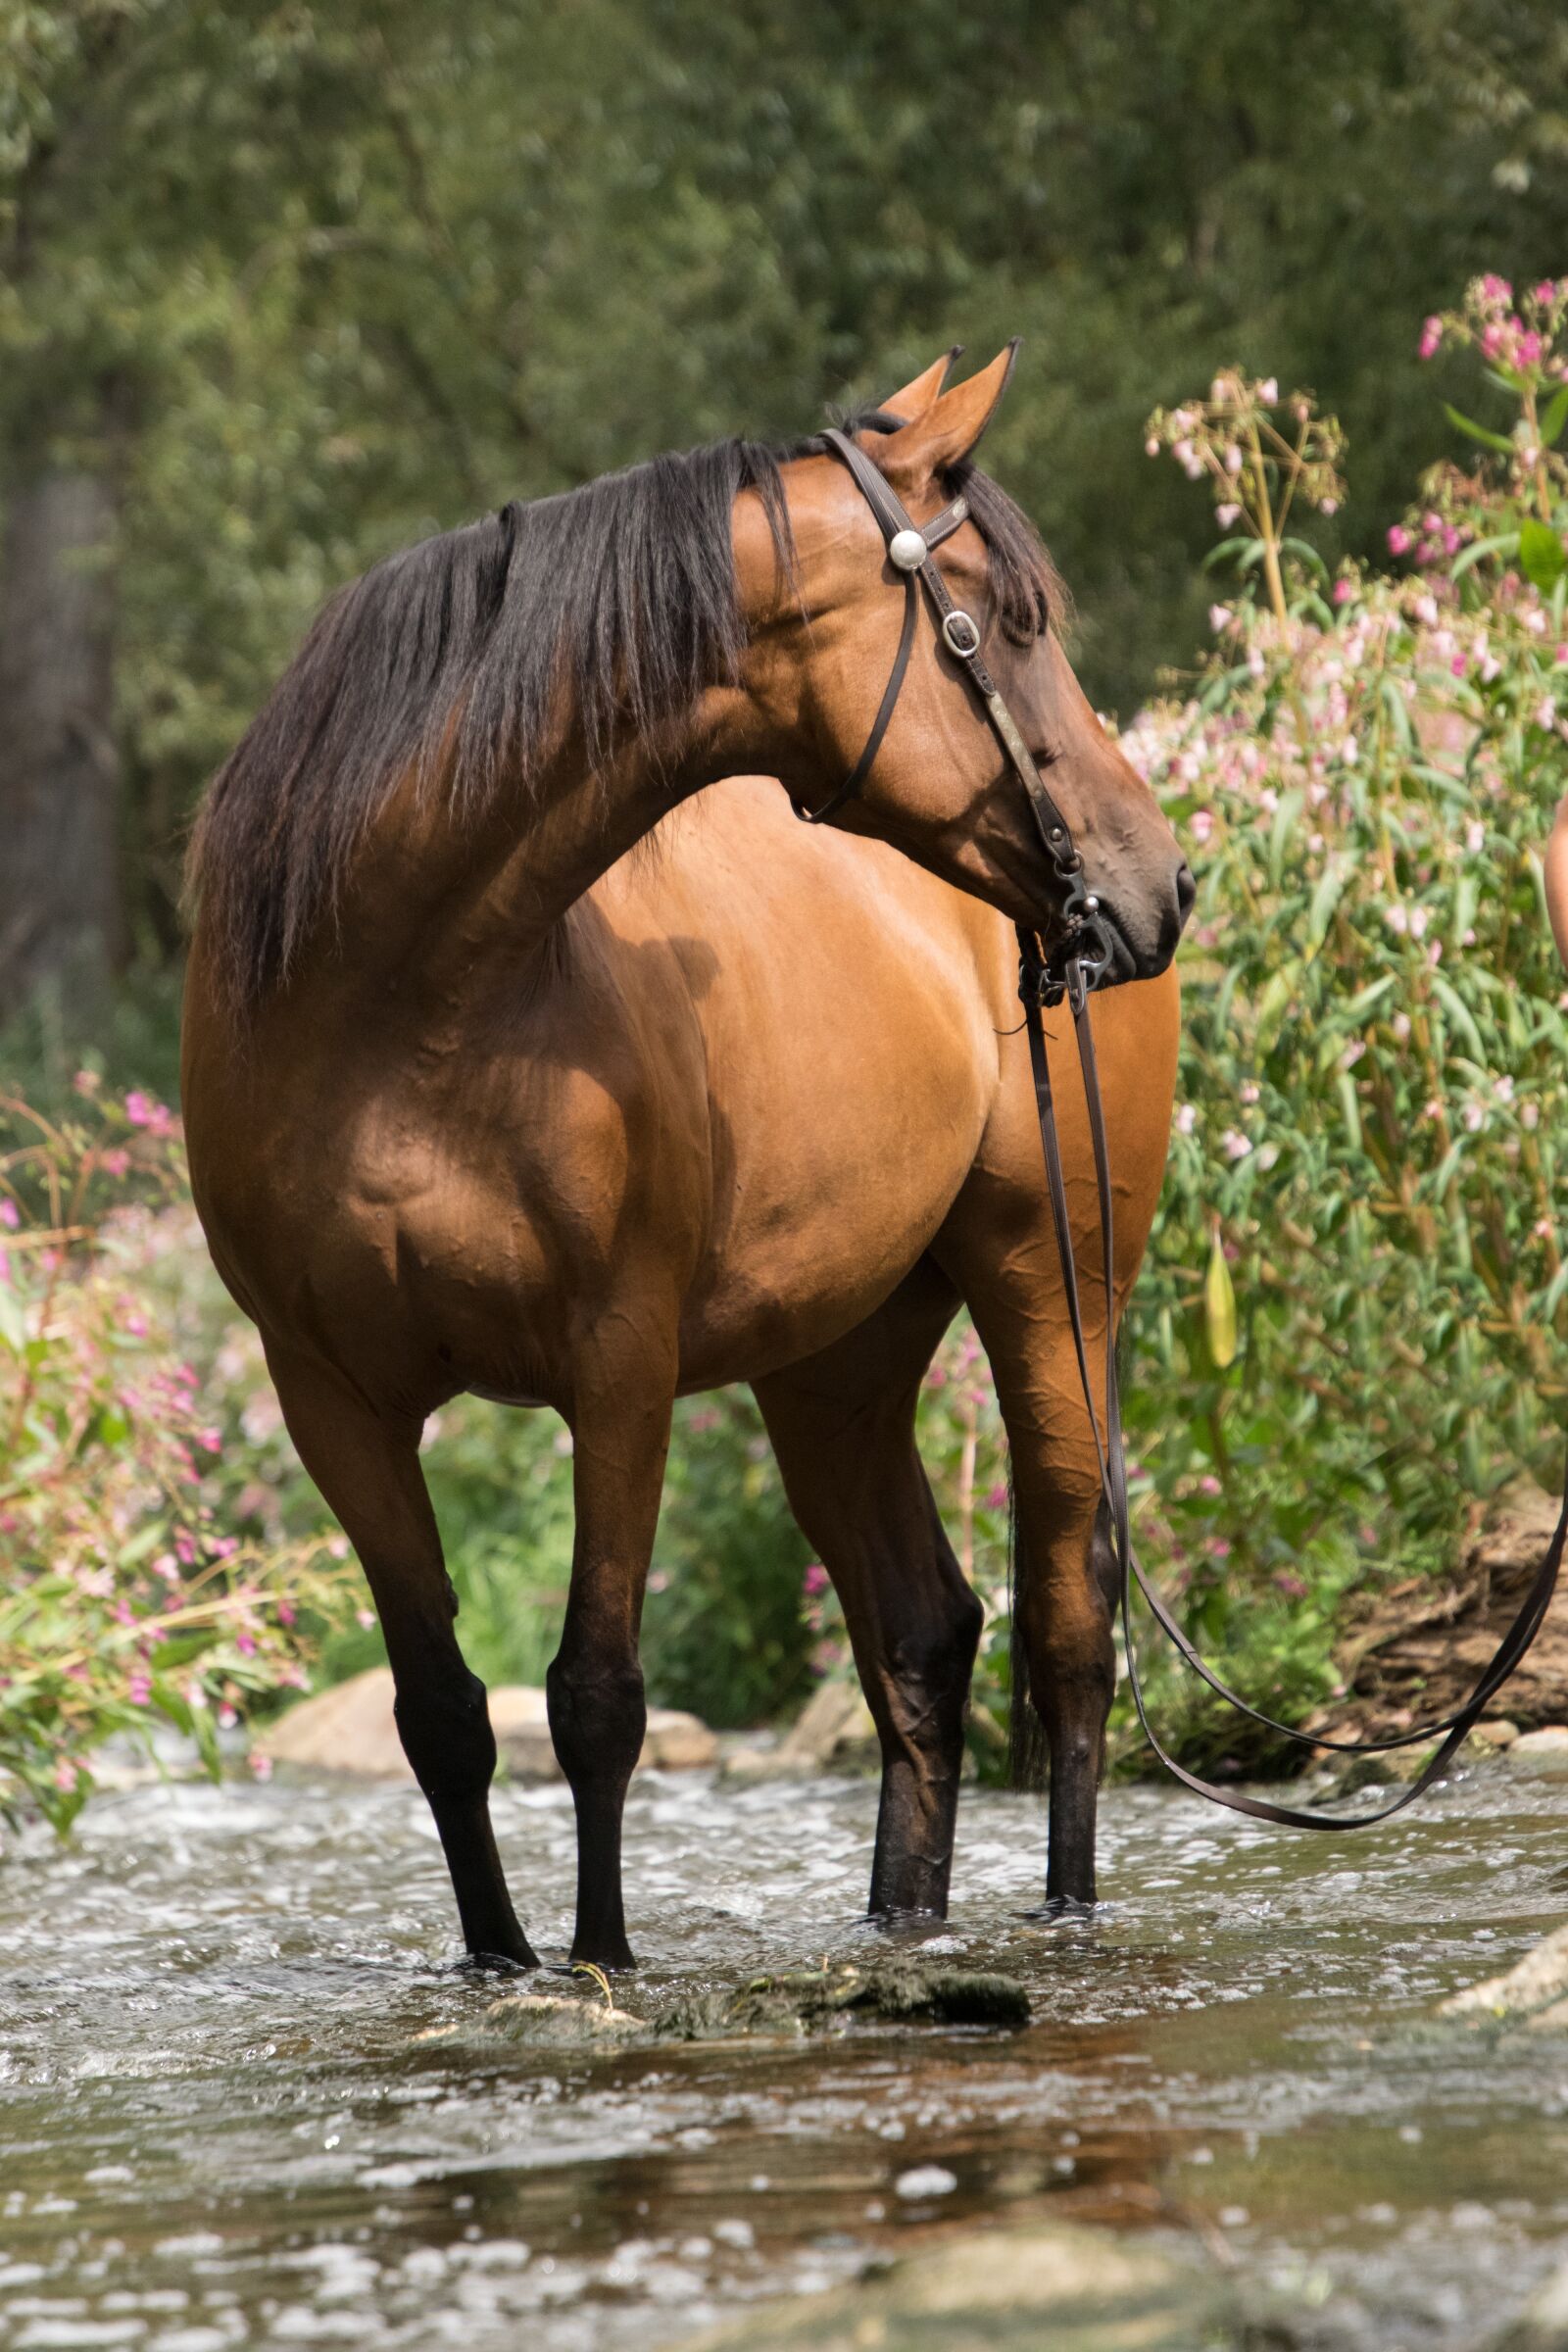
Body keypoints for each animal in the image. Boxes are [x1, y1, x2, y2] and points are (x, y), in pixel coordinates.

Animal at [182, 347, 1191, 1970]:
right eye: (1012, 622)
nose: (1157, 882)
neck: (405, 1002)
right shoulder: (332, 1402)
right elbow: (442, 1715)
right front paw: (502, 1963)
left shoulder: (619, 1369)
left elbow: (596, 1695)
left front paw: (601, 1966)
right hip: (835, 1362)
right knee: (923, 1636)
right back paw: (901, 1932)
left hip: (1058, 1288)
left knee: (1067, 1615)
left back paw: (1067, 1915)